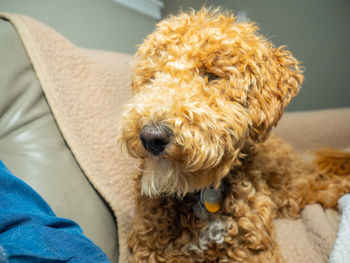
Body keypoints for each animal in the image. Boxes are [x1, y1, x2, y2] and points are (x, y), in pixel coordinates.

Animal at [118, 7, 350, 262]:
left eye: (211, 76)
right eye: (153, 77)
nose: (152, 136)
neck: (202, 194)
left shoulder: (256, 250)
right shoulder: (149, 247)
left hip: (294, 184)